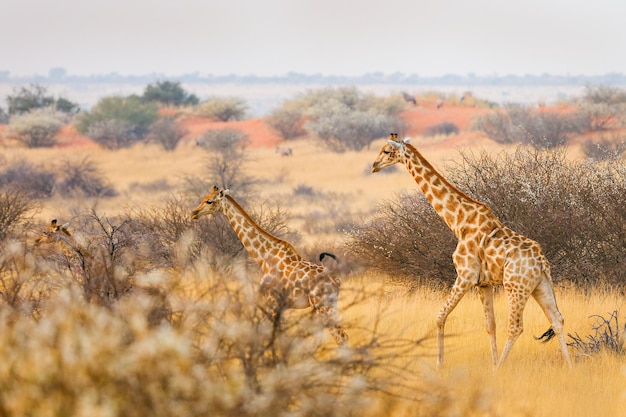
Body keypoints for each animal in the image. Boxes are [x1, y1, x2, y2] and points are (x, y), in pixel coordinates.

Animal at [190, 186, 346, 344]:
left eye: (209, 201)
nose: (193, 213)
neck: (264, 258)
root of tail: (336, 281)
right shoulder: (279, 306)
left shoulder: (272, 303)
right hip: (330, 305)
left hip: (323, 306)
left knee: (341, 337)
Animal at [370, 132, 572, 368]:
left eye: (386, 151)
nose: (374, 166)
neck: (458, 220)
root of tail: (541, 261)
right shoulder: (483, 283)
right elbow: (490, 326)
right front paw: (492, 362)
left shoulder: (465, 275)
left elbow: (440, 317)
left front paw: (439, 364)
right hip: (540, 285)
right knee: (557, 319)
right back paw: (570, 367)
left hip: (515, 286)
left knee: (516, 327)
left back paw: (500, 370)